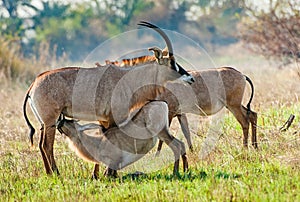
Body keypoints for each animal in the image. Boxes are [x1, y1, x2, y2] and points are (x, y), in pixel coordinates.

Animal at [56, 101, 188, 177]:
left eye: (71, 121)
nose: (58, 122)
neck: (98, 144)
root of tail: (163, 103)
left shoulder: (113, 161)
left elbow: (108, 175)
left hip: (162, 132)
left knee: (177, 146)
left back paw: (175, 173)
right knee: (181, 144)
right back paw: (185, 170)